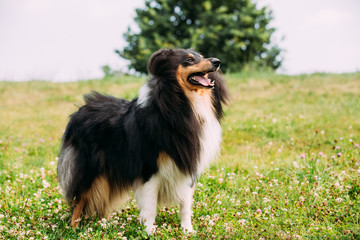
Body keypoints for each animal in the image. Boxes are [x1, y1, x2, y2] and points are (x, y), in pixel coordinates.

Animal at [57, 47, 229, 233]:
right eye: (189, 60)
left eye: (202, 56)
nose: (217, 62)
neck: (183, 105)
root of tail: (79, 112)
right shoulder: (149, 167)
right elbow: (150, 205)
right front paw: (149, 231)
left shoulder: (188, 164)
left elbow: (185, 205)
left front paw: (188, 231)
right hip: (90, 168)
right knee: (78, 200)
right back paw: (73, 229)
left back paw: (105, 225)